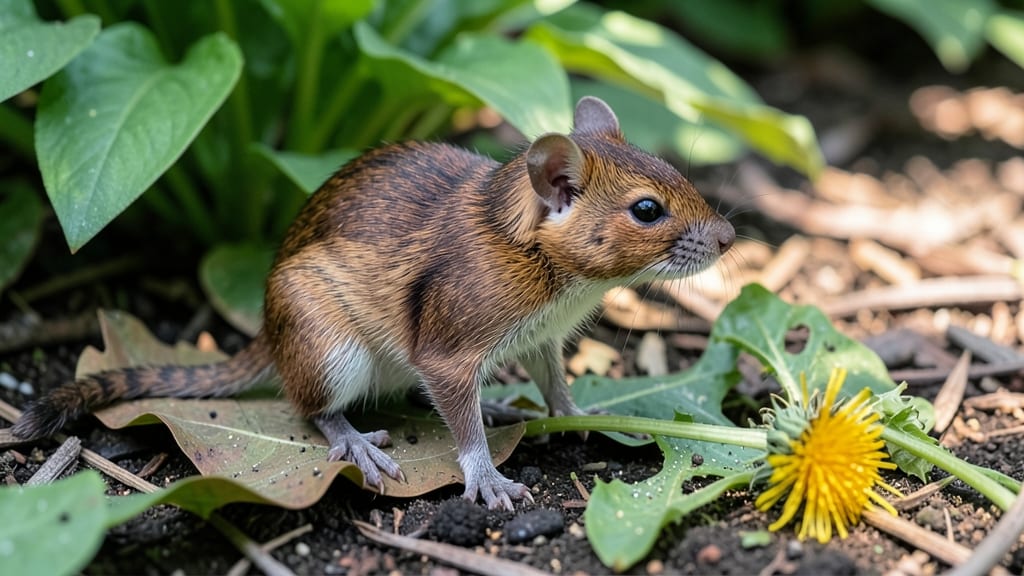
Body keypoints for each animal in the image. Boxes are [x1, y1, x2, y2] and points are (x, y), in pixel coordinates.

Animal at [12, 96, 735, 510]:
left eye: (675, 173)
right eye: (647, 209)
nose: (731, 238)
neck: (536, 251)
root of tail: (269, 334)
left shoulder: (541, 338)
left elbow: (554, 381)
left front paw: (575, 414)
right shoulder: (449, 351)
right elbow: (460, 422)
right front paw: (487, 477)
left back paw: (500, 404)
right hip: (333, 351)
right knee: (313, 411)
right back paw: (357, 443)